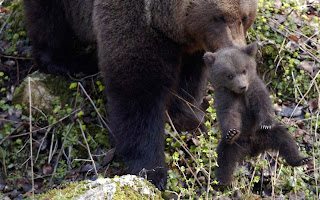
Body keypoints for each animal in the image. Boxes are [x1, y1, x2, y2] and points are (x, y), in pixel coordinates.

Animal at [23, 0, 258, 191]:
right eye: (218, 17)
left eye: (244, 17)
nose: (237, 51)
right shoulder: (133, 24)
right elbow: (138, 97)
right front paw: (153, 171)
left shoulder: (192, 46)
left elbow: (189, 80)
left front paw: (190, 120)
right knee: (48, 20)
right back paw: (65, 62)